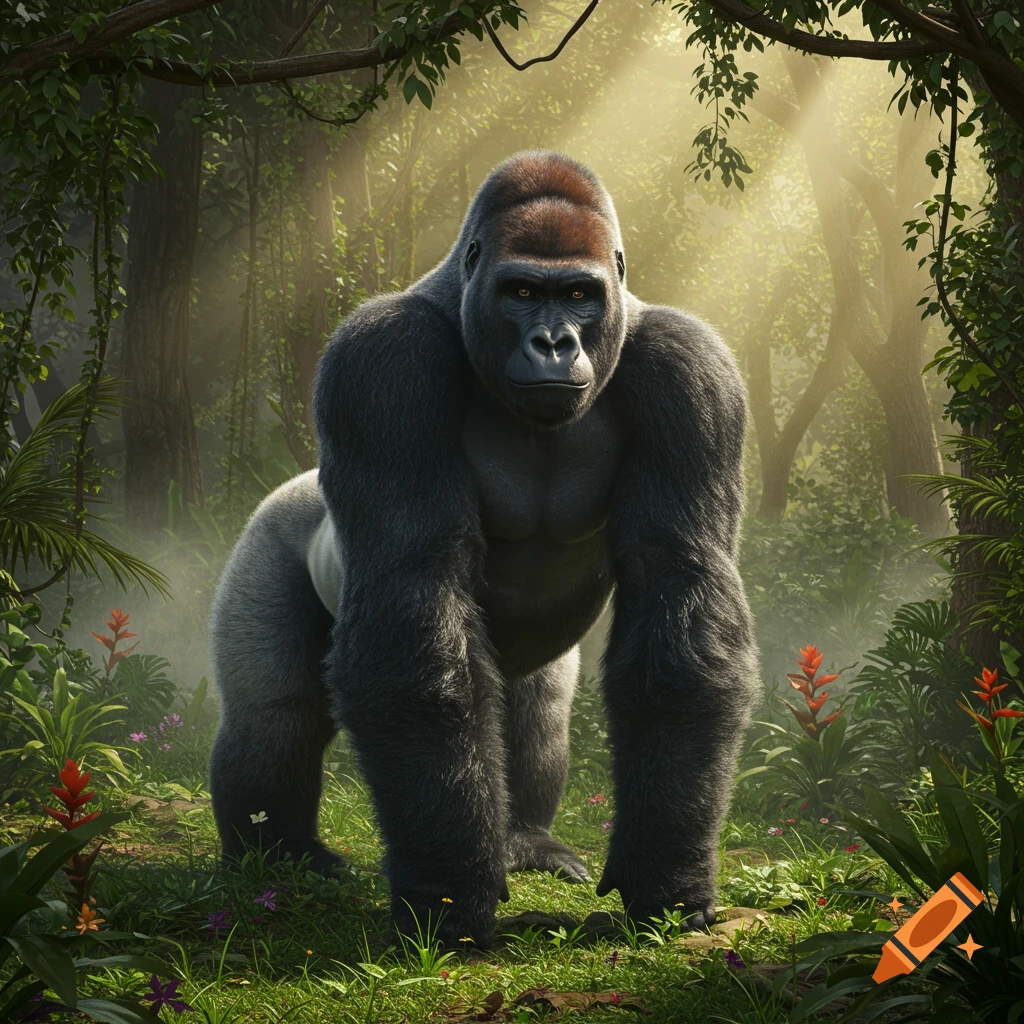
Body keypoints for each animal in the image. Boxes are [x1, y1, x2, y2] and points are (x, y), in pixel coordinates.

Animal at [209, 150, 759, 947]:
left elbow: (678, 593)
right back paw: (275, 850)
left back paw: (524, 840)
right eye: (522, 292)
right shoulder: (383, 362)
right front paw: (449, 892)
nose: (554, 342)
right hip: (267, 533)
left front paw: (668, 873)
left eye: (579, 296)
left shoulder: (692, 370)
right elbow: (417, 597)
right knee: (274, 711)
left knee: (536, 703)